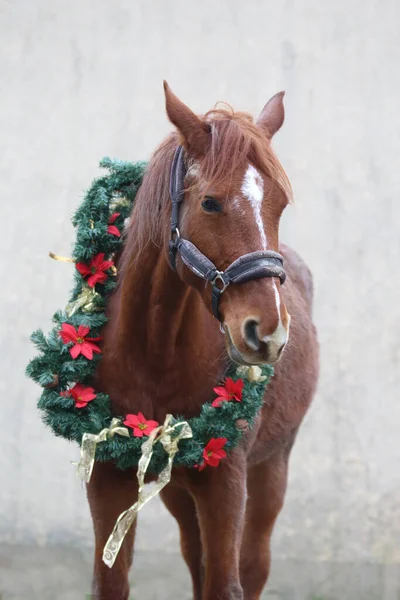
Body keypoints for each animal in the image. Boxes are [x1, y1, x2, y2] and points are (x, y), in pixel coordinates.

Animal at [87, 81, 318, 600]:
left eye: (280, 204)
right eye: (210, 202)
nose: (267, 332)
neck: (154, 353)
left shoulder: (226, 482)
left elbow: (227, 583)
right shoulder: (107, 480)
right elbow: (112, 582)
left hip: (272, 467)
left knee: (254, 565)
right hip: (177, 487)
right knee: (196, 558)